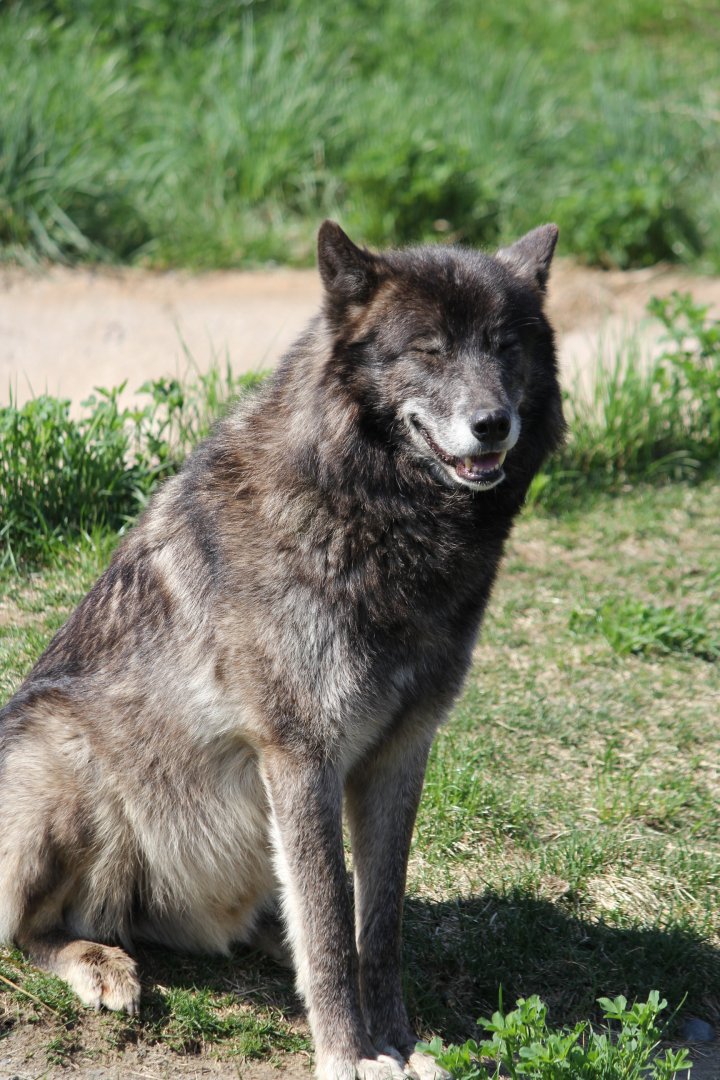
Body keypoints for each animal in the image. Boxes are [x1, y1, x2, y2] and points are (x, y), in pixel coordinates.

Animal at [0, 221, 564, 1080]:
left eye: (504, 346)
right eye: (429, 350)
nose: (493, 424)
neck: (378, 516)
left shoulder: (402, 754)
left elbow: (376, 924)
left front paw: (398, 1042)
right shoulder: (301, 754)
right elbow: (330, 925)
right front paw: (348, 1056)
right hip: (59, 756)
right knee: (28, 931)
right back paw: (102, 964)